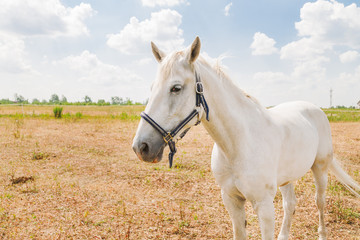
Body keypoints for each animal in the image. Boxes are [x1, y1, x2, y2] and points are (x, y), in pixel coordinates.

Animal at [133, 36, 360, 239]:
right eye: (152, 88)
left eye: (176, 88)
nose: (141, 147)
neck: (238, 144)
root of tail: (315, 109)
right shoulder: (231, 199)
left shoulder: (264, 205)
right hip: (287, 178)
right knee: (290, 205)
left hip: (320, 168)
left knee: (319, 202)